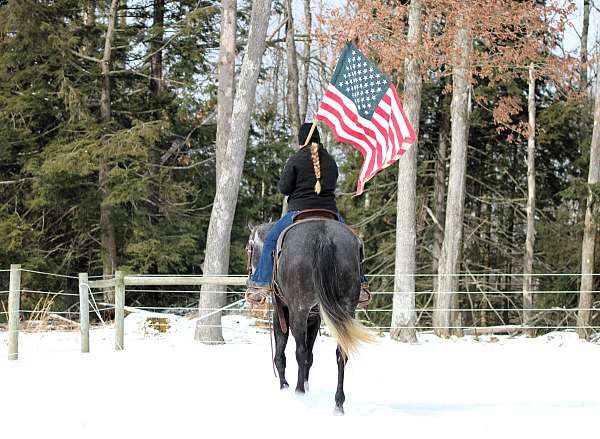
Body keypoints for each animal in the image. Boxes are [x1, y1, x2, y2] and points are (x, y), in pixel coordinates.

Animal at [246, 218, 372, 414]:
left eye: (249, 249)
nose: (252, 290)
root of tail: (324, 237)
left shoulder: (281, 312)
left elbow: (282, 353)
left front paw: (285, 386)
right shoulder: (314, 318)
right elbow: (310, 356)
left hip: (299, 311)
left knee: (300, 351)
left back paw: (299, 392)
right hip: (345, 310)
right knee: (340, 353)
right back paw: (338, 403)